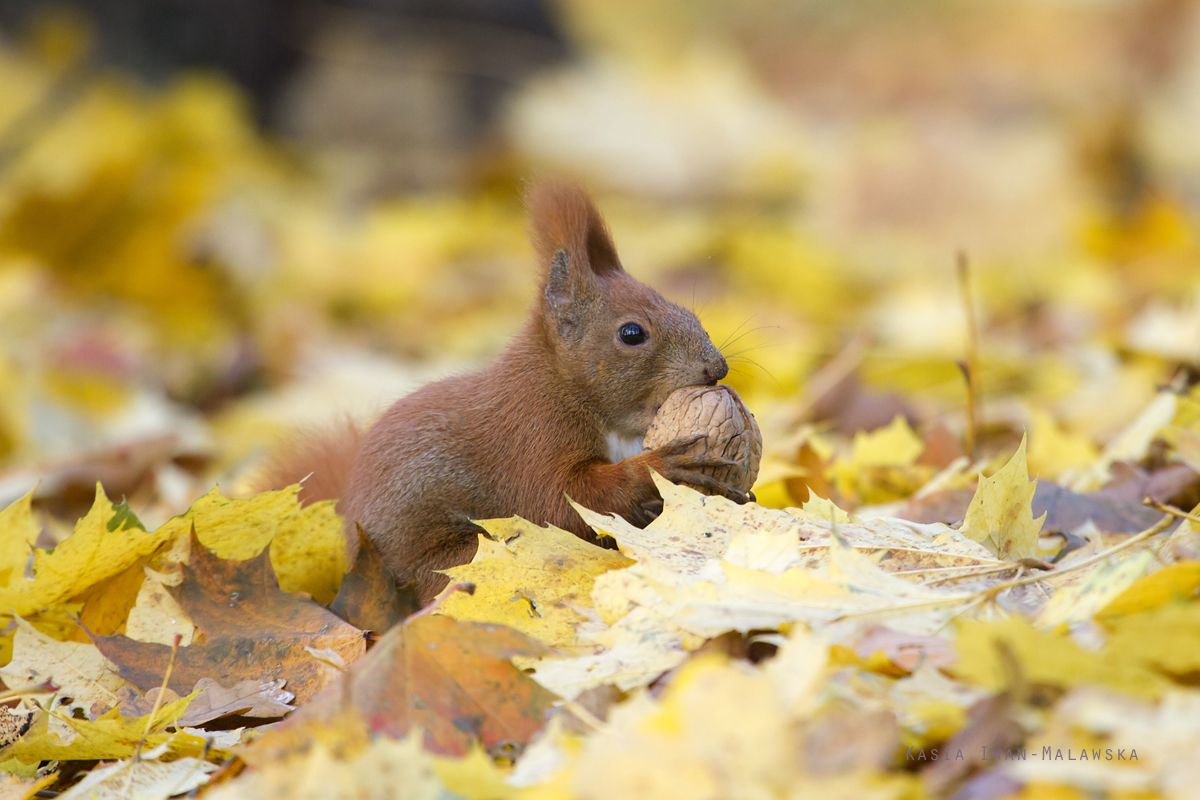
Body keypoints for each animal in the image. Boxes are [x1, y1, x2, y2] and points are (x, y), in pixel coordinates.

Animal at [267, 181, 744, 604]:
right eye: (631, 333)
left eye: (686, 311)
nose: (717, 368)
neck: (563, 385)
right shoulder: (531, 438)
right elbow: (561, 499)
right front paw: (665, 467)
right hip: (458, 558)